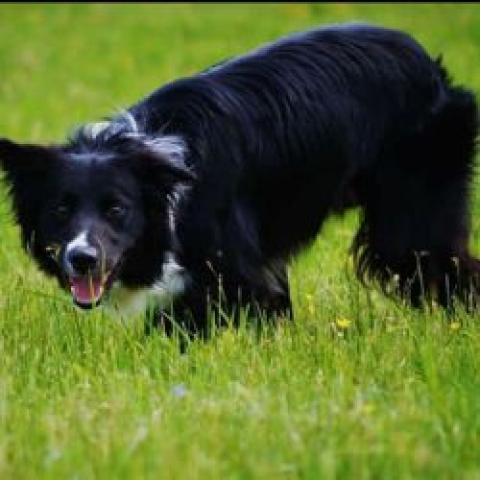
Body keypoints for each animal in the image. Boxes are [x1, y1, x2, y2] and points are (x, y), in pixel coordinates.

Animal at [0, 23, 478, 338]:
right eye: (61, 209)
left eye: (117, 209)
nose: (82, 259)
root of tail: (428, 62)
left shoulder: (236, 269)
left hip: (409, 223)